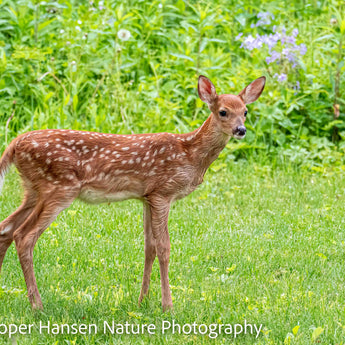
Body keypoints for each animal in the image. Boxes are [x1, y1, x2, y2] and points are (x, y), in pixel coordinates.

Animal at [0, 74, 266, 310]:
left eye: (245, 111)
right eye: (223, 111)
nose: (241, 130)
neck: (190, 154)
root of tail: (15, 144)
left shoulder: (146, 197)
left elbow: (149, 248)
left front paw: (143, 301)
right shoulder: (162, 192)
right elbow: (164, 248)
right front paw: (167, 306)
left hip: (33, 189)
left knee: (6, 228)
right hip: (59, 187)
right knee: (24, 236)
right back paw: (37, 305)